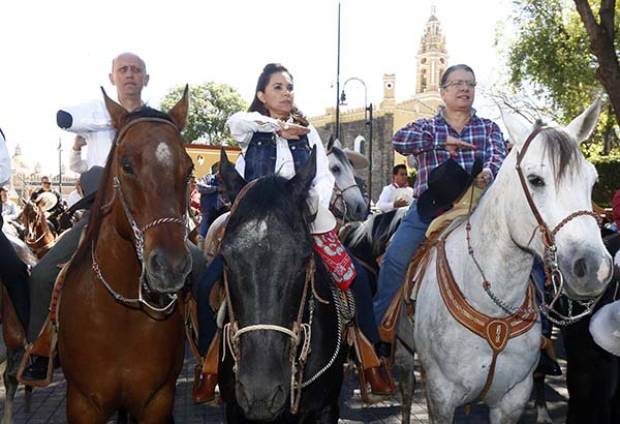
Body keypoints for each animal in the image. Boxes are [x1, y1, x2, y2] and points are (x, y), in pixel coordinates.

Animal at [58, 88, 194, 422]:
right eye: (126, 165)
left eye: (188, 170)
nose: (170, 266)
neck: (124, 313)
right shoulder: (82, 403)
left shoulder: (157, 400)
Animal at [414, 100, 612, 424]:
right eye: (535, 180)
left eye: (593, 180)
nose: (596, 269)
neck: (493, 302)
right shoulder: (440, 396)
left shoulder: (513, 398)